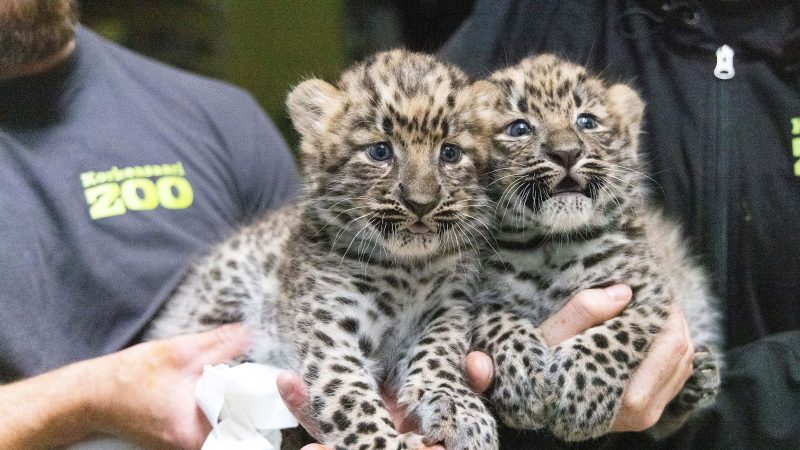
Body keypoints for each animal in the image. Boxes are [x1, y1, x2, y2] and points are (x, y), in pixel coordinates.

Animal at [143, 50, 501, 450]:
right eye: (380, 151)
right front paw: (390, 442)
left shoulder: (446, 309)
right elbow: (352, 398)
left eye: (450, 153)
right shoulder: (330, 333)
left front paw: (462, 410)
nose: (420, 203)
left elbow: (440, 354)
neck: (406, 268)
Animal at [470, 54, 722, 442]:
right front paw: (522, 378)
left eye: (586, 121)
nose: (566, 153)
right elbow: (495, 321)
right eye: (519, 128)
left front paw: (581, 394)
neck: (550, 246)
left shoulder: (648, 291)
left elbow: (615, 334)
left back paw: (700, 377)